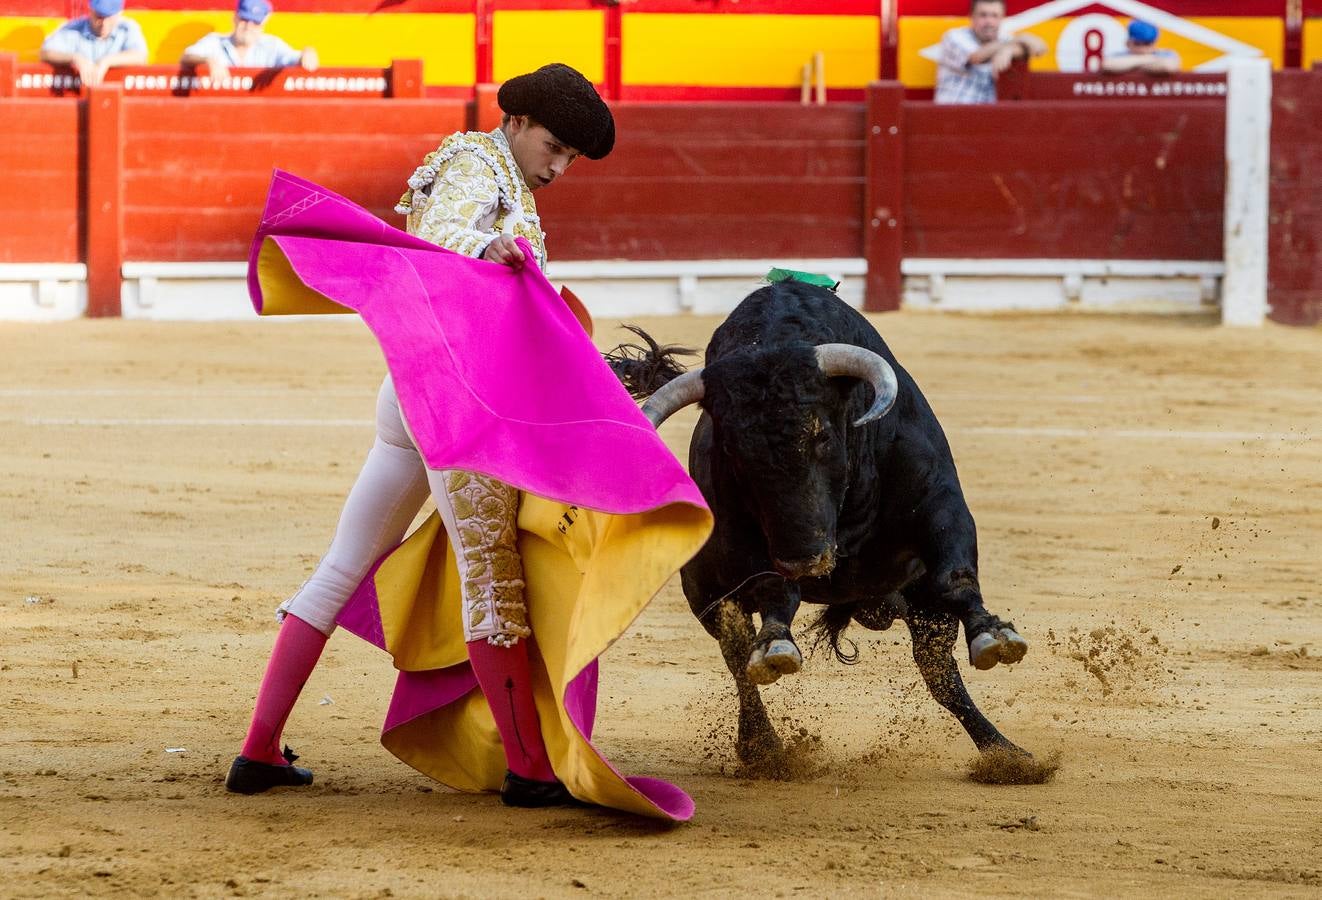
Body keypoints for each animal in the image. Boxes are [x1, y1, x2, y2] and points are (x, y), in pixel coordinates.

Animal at [610, 277, 1031, 766]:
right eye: (733, 452)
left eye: (822, 435)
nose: (807, 561)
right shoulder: (744, 544)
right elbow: (774, 595)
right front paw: (776, 644)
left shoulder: (939, 501)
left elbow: (955, 576)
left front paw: (993, 634)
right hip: (706, 594)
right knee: (738, 659)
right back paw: (762, 746)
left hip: (921, 602)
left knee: (939, 672)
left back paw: (1005, 753)